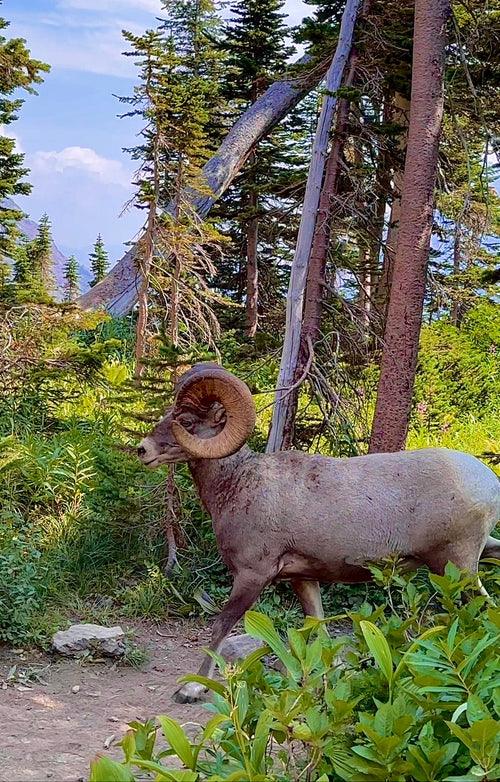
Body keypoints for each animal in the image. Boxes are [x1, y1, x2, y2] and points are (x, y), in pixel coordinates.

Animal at [137, 363, 500, 703]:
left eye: (185, 422)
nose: (142, 450)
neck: (239, 483)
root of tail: (489, 482)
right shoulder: (303, 579)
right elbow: (319, 629)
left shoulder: (252, 576)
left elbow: (220, 627)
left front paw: (192, 689)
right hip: (475, 556)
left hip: (455, 566)